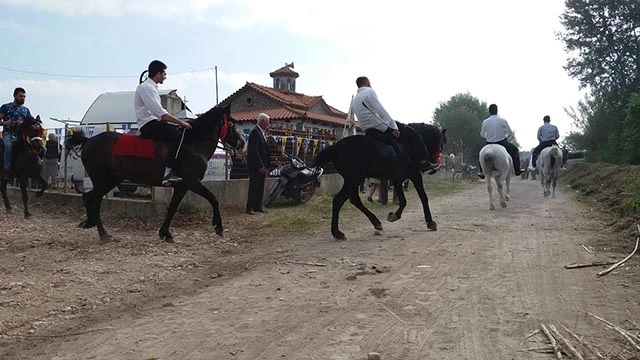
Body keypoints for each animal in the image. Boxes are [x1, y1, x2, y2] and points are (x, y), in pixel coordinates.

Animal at [65, 105, 245, 243]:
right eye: (231, 122)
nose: (241, 143)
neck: (194, 145)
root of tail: (88, 140)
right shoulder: (192, 181)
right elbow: (213, 199)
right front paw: (218, 227)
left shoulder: (181, 186)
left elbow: (172, 208)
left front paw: (165, 233)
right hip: (102, 179)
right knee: (94, 199)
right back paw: (102, 233)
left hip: (111, 180)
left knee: (90, 197)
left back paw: (91, 224)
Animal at [314, 122, 444, 240]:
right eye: (442, 141)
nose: (435, 162)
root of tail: (335, 148)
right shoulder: (415, 175)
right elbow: (423, 197)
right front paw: (430, 222)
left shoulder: (398, 179)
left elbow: (403, 200)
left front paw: (394, 215)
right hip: (353, 179)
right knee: (338, 200)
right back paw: (337, 233)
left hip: (354, 180)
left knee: (354, 200)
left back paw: (376, 223)